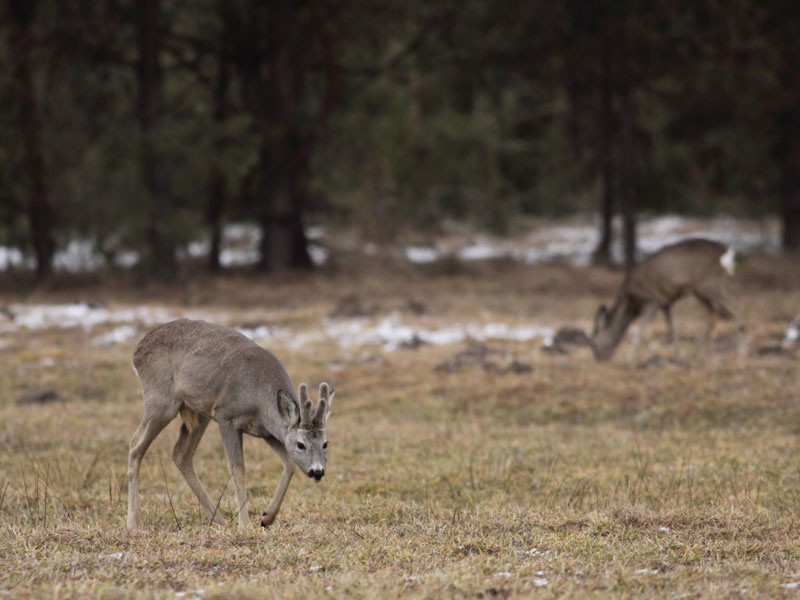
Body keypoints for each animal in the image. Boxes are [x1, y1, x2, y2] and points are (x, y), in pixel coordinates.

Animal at [126, 318, 332, 528]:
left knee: (180, 454)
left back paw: (219, 520)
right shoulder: (226, 417)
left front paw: (267, 517)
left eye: (325, 443)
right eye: (301, 444)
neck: (258, 399)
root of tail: (137, 352)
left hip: (198, 413)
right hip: (161, 401)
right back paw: (132, 523)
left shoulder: (267, 432)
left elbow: (289, 464)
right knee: (135, 444)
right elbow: (237, 468)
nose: (317, 471)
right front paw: (245, 525)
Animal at [588, 239, 744, 360]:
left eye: (594, 343)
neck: (631, 302)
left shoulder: (652, 300)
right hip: (704, 289)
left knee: (735, 311)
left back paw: (743, 351)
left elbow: (642, 330)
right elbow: (673, 329)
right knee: (713, 316)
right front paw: (680, 355)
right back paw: (694, 354)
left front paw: (629, 357)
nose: (598, 358)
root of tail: (726, 252)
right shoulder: (666, 303)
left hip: (707, 285)